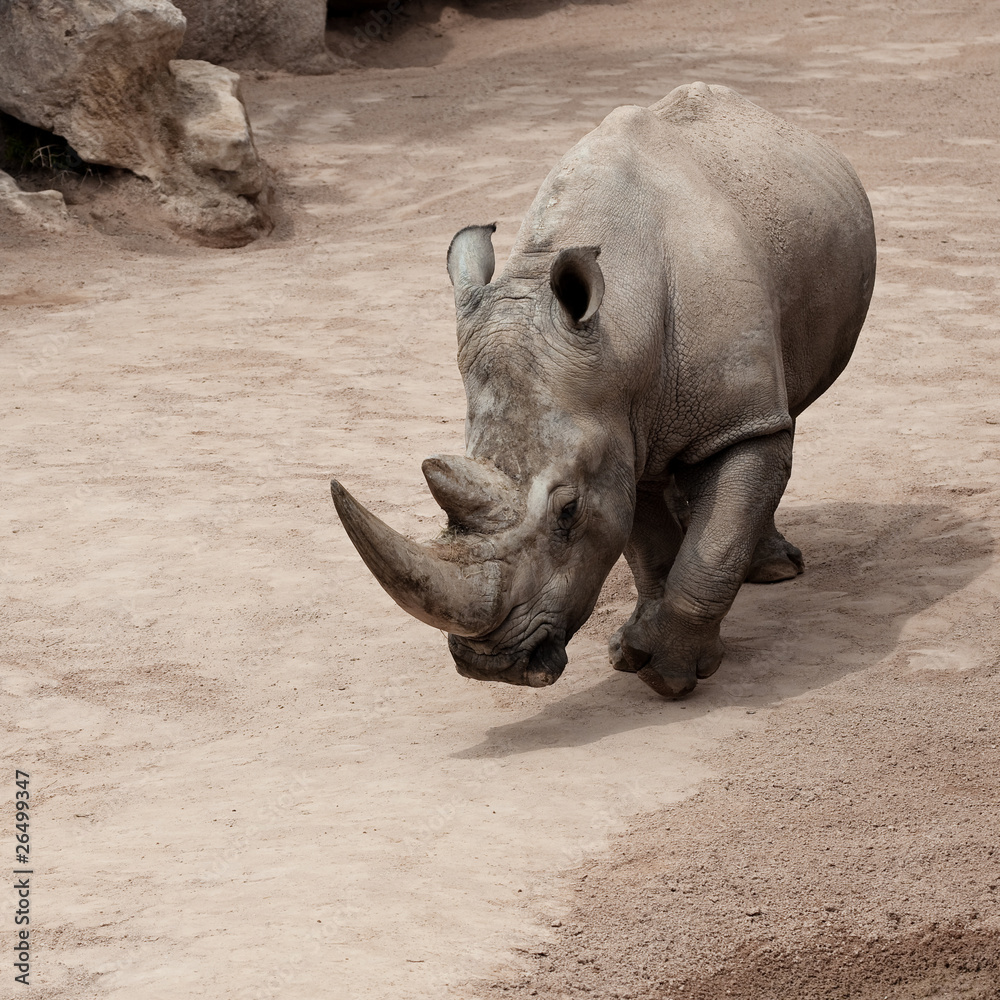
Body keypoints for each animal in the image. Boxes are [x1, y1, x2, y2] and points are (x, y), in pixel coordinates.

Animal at [331, 82, 876, 698]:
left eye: (568, 512)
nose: (491, 666)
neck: (620, 332)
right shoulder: (615, 427)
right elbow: (646, 544)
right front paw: (632, 651)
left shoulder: (729, 421)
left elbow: (714, 544)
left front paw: (669, 678)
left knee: (777, 426)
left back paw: (777, 572)